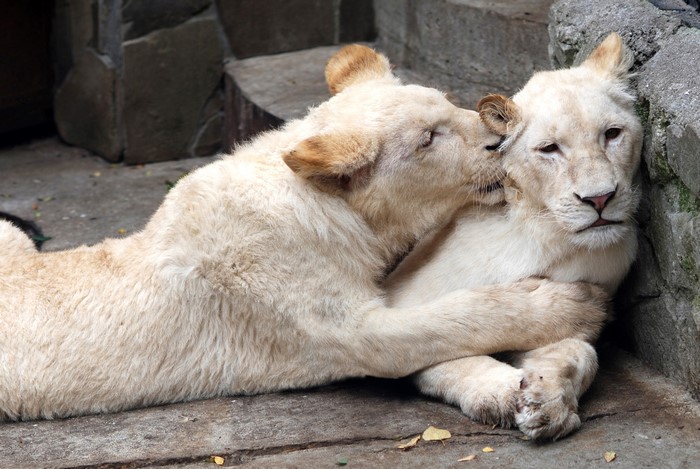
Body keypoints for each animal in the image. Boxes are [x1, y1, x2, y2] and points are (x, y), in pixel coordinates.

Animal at [0, 45, 608, 421]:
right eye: (427, 138)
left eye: (447, 103)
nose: (498, 140)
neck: (323, 205)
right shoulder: (281, 296)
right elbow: (410, 329)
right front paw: (573, 304)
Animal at [384, 33, 642, 440]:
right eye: (550, 148)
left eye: (612, 134)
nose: (600, 199)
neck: (540, 233)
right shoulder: (402, 298)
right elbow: (444, 336)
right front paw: (498, 393)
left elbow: (578, 351)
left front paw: (547, 400)